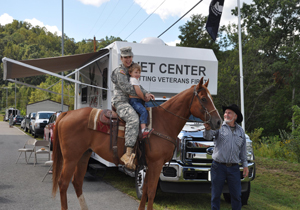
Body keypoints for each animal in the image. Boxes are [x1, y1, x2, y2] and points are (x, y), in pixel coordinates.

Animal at [51, 77, 221, 210]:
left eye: (212, 98)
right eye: (204, 99)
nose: (218, 122)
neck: (163, 122)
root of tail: (67, 113)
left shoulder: (147, 165)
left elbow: (144, 191)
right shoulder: (156, 164)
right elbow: (151, 192)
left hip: (83, 155)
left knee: (77, 182)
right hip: (71, 157)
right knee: (63, 183)